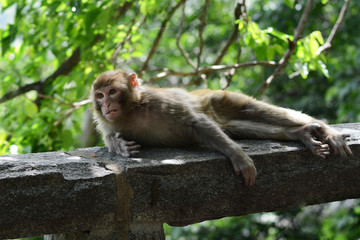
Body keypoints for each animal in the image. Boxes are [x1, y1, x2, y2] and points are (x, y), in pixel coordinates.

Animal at [90, 70, 352, 188]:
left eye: (112, 92)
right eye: (100, 96)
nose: (106, 105)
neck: (133, 109)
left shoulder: (159, 101)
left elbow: (194, 122)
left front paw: (240, 159)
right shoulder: (108, 122)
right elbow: (110, 137)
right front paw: (120, 145)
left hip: (218, 98)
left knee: (254, 110)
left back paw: (325, 131)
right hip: (223, 120)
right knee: (238, 126)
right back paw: (299, 134)